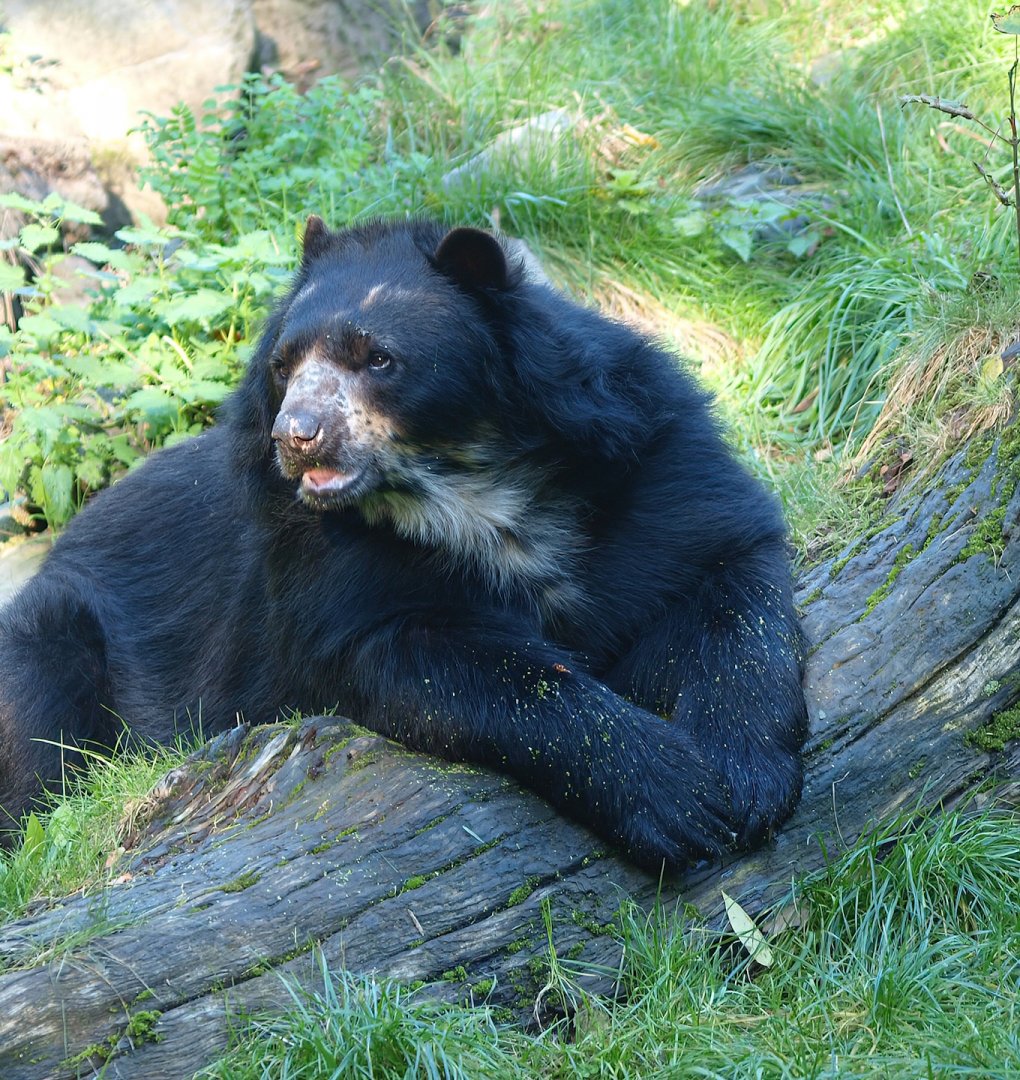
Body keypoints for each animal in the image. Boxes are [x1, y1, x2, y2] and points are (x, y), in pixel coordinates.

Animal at [0, 217, 808, 869]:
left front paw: (745, 780)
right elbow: (475, 669)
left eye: (379, 358)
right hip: (55, 644)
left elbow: (727, 585)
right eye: (284, 366)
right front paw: (678, 799)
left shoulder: (653, 472)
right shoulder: (330, 570)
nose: (295, 436)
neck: (463, 489)